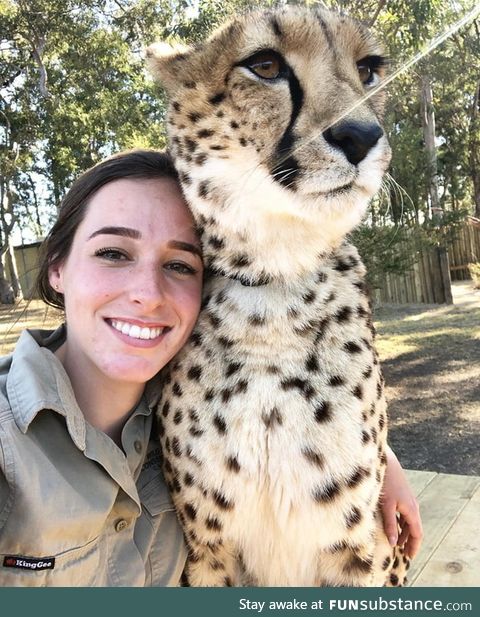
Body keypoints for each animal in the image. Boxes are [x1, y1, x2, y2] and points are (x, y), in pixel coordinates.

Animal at [148, 4, 410, 584]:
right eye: (265, 65)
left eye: (369, 69)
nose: (361, 135)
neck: (275, 291)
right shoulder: (206, 551)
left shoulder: (360, 548)